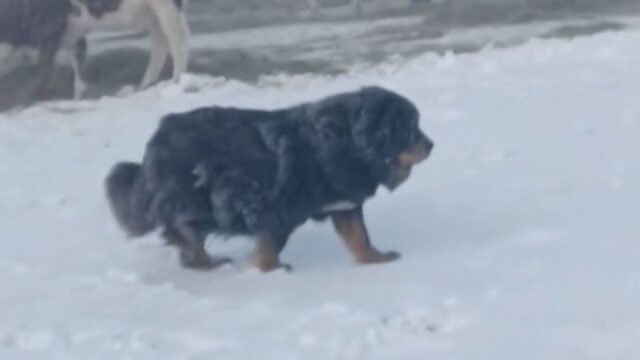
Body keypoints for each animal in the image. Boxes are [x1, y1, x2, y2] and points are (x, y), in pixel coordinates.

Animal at [106, 87, 436, 272]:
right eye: (409, 128)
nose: (431, 144)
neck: (346, 144)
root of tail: (156, 139)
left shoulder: (344, 206)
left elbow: (360, 238)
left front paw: (374, 260)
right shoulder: (277, 210)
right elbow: (270, 247)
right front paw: (267, 271)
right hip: (199, 200)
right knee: (183, 233)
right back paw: (205, 262)